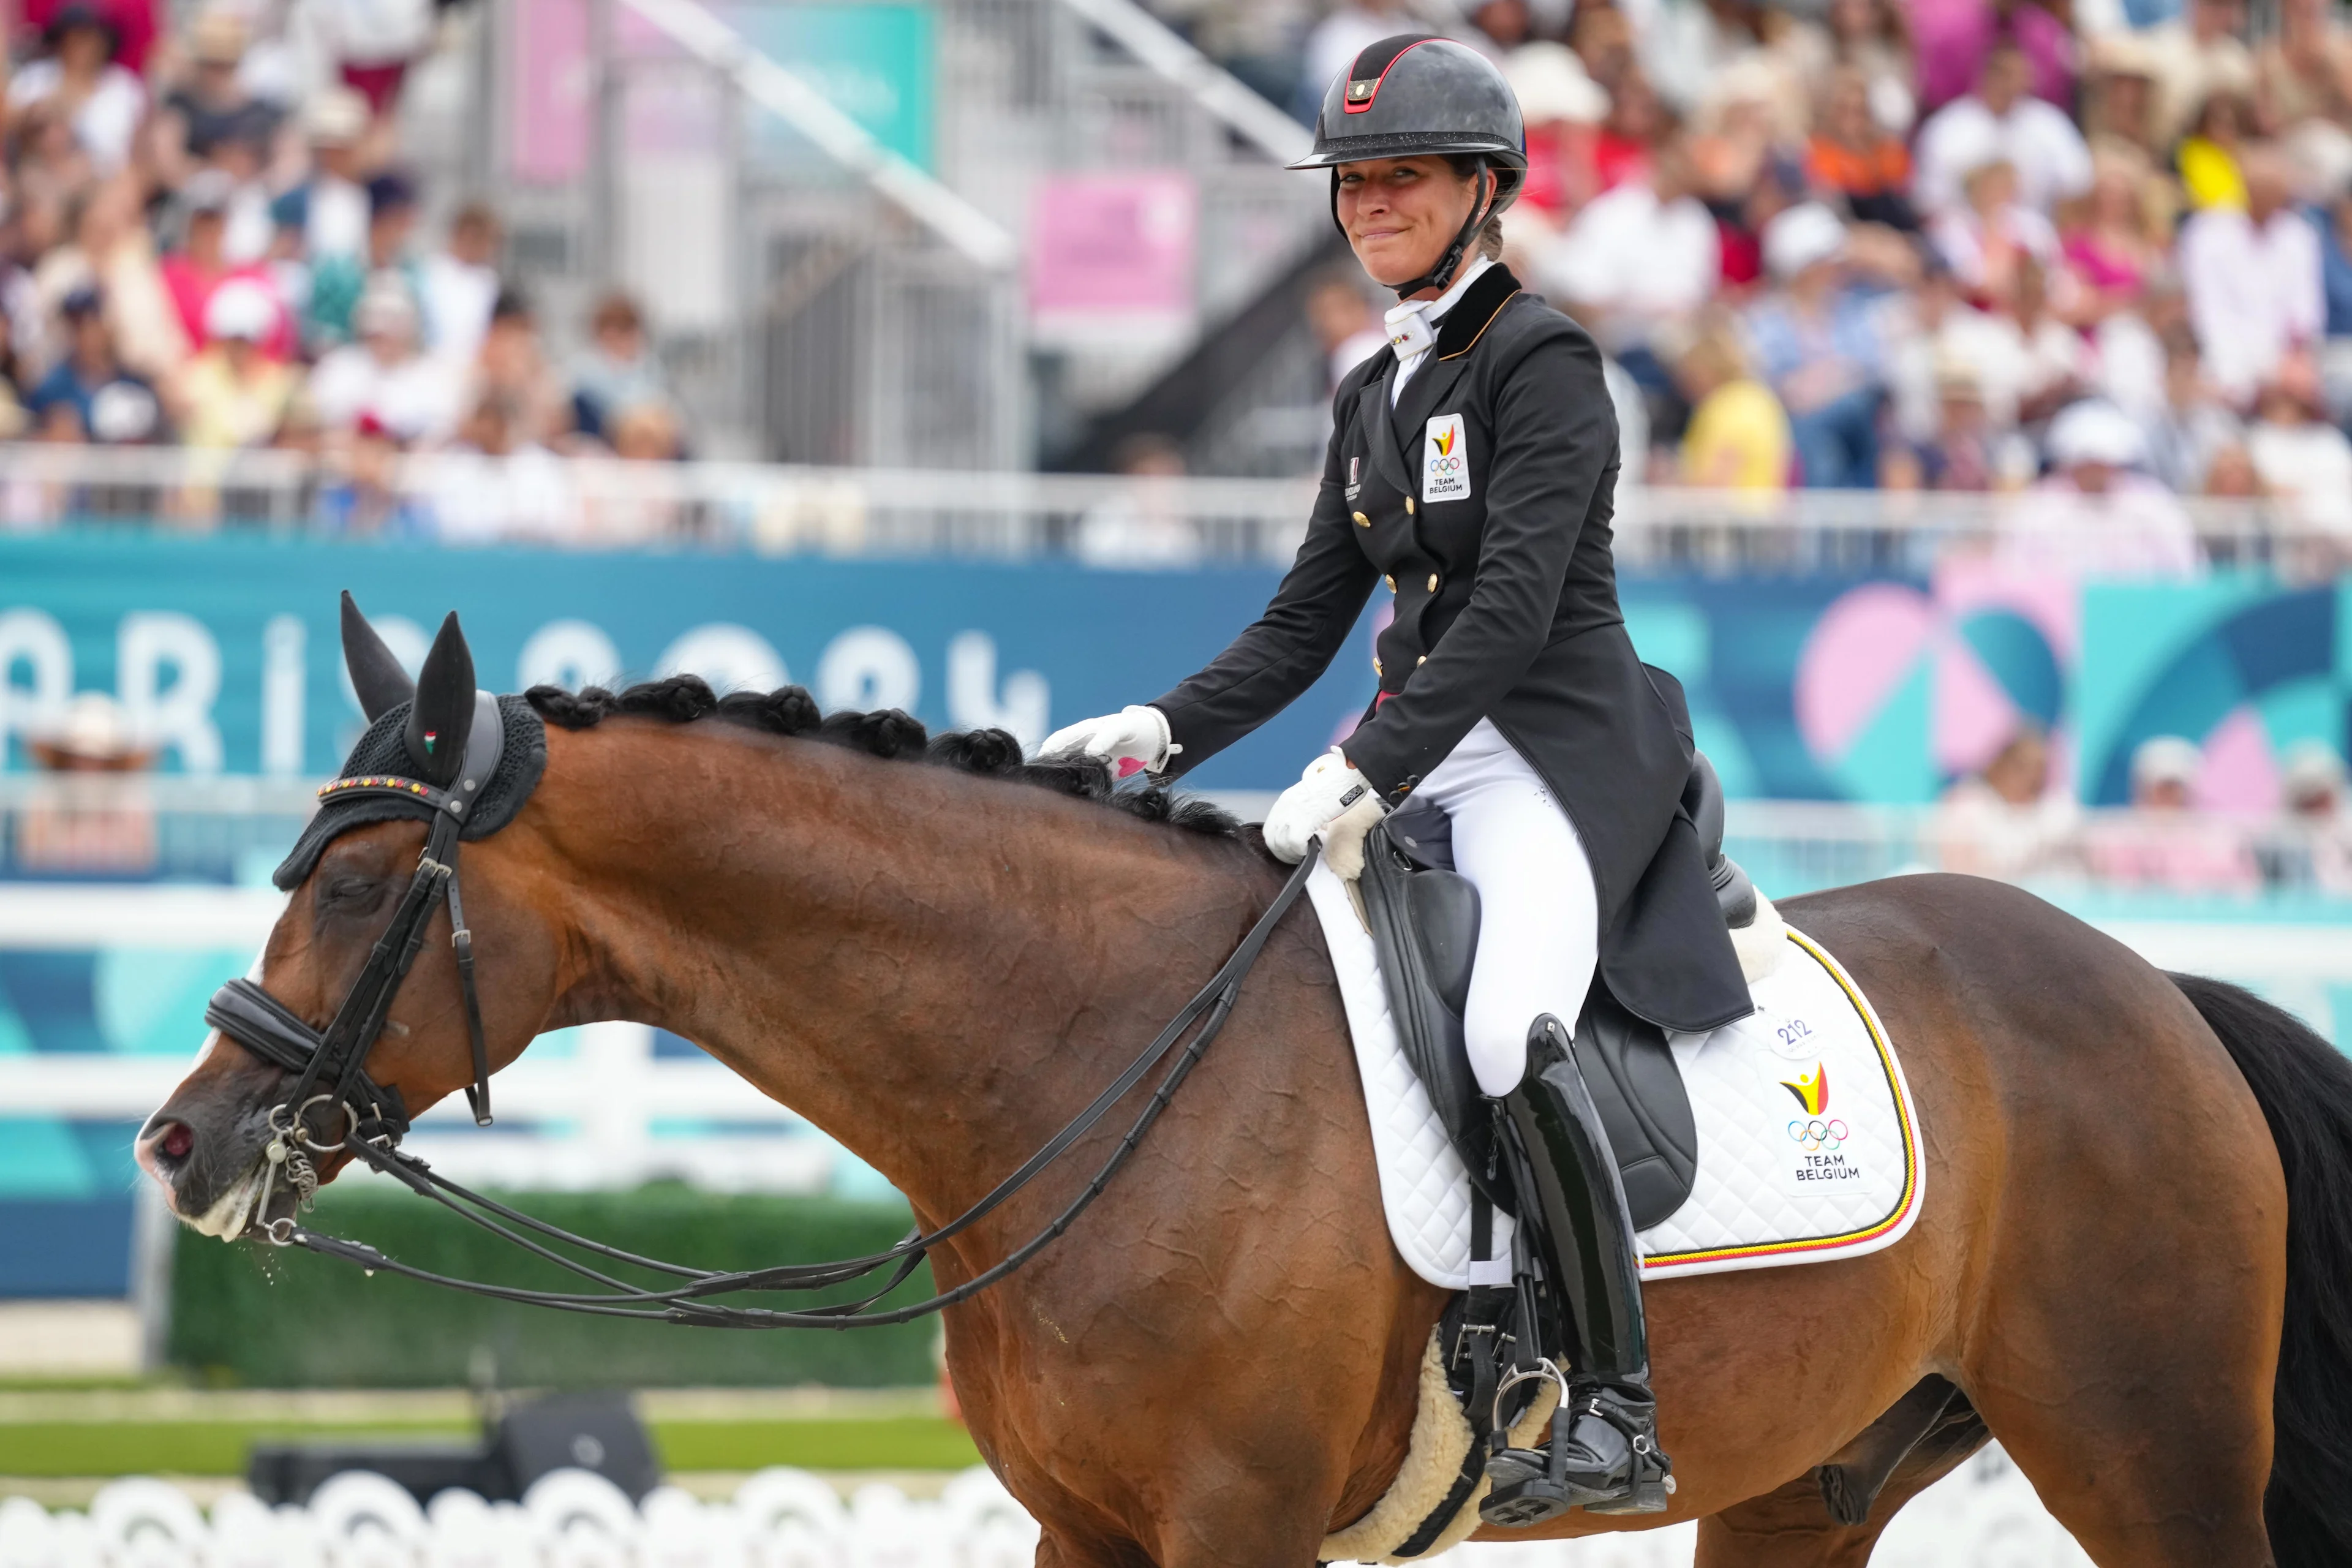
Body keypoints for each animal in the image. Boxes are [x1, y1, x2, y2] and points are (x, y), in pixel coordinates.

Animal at [137, 668, 2352, 1561]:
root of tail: (2154, 987)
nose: (182, 1145)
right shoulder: (1087, 1528)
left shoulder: (1234, 1524)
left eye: (360, 886)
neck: (1082, 1046)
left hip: (2151, 1457)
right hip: (1810, 1490)